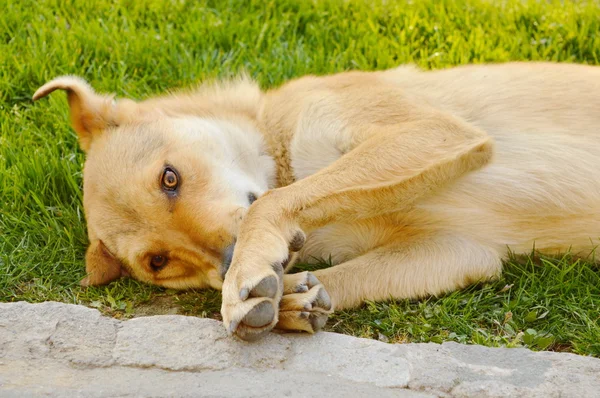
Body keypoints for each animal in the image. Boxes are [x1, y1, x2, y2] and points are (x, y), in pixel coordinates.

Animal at [35, 63, 600, 342]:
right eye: (159, 261)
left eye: (169, 179)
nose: (229, 262)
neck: (280, 149)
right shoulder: (459, 251)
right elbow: (340, 275)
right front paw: (286, 299)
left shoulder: (432, 131)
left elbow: (270, 202)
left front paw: (254, 277)